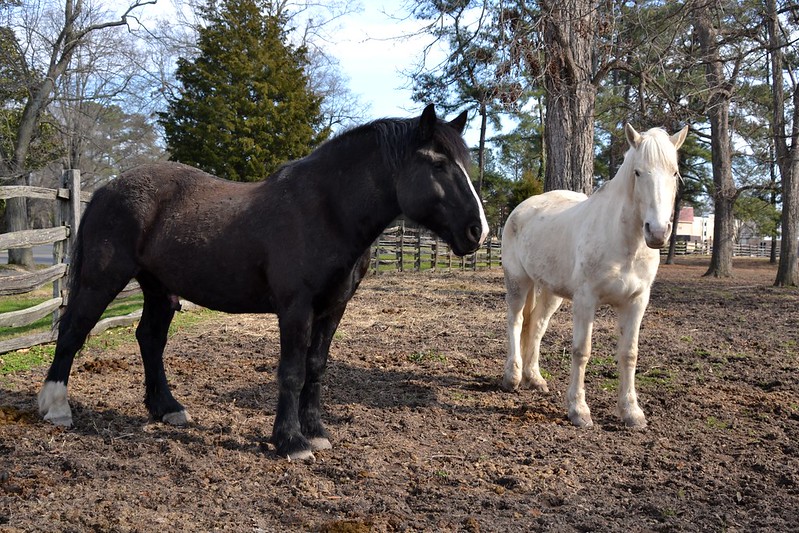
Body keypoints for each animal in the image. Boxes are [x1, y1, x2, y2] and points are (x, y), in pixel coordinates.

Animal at [39, 105, 488, 462]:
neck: (326, 212)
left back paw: (166, 408)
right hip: (102, 280)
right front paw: (290, 442)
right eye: (438, 164)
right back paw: (56, 407)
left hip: (159, 288)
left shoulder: (334, 308)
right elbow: (291, 372)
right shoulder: (295, 307)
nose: (477, 231)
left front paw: (316, 433)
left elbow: (316, 367)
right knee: (73, 331)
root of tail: (106, 189)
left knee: (149, 338)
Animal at [504, 123, 692, 428]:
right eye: (637, 172)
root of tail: (522, 208)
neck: (624, 243)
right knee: (516, 321)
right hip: (518, 282)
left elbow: (629, 354)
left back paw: (535, 379)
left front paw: (632, 412)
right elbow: (582, 351)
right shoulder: (586, 301)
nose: (657, 232)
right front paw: (579, 410)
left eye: (674, 173)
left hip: (551, 292)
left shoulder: (636, 302)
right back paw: (513, 377)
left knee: (537, 326)